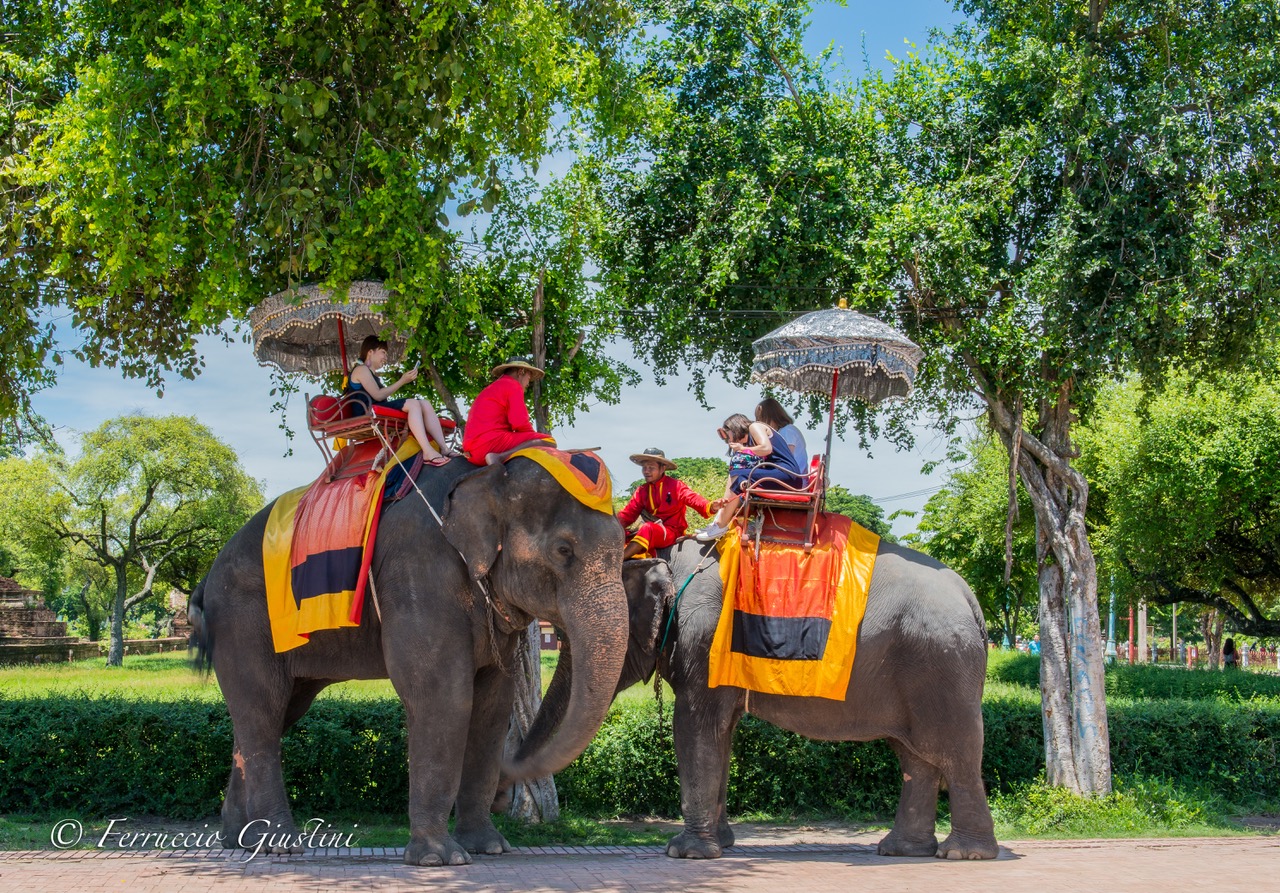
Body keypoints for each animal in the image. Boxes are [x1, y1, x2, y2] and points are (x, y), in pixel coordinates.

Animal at [189, 455, 628, 866]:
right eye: (564, 550)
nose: (509, 791)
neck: (484, 477)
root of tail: (208, 575)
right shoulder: (420, 572)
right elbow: (443, 697)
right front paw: (440, 859)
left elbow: (491, 707)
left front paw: (489, 847)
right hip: (243, 622)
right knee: (263, 712)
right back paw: (281, 846)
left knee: (273, 715)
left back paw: (241, 841)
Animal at [521, 538, 999, 861]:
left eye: (564, 635)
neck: (667, 558)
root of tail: (971, 598)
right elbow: (722, 735)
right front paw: (721, 845)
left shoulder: (704, 641)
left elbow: (694, 727)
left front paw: (685, 852)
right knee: (915, 756)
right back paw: (902, 850)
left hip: (941, 664)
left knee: (956, 752)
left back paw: (963, 854)